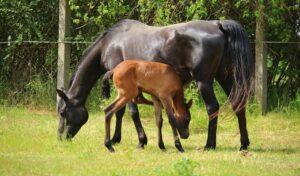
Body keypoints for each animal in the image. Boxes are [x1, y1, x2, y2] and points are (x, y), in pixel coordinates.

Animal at [55, 19, 253, 151]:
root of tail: (217, 24)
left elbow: (132, 113)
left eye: (63, 112)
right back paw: (243, 144)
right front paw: (116, 138)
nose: (62, 138)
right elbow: (119, 112)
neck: (109, 44)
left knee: (212, 108)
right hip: (224, 78)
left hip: (204, 81)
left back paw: (209, 144)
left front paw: (141, 140)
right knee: (238, 105)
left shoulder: (128, 89)